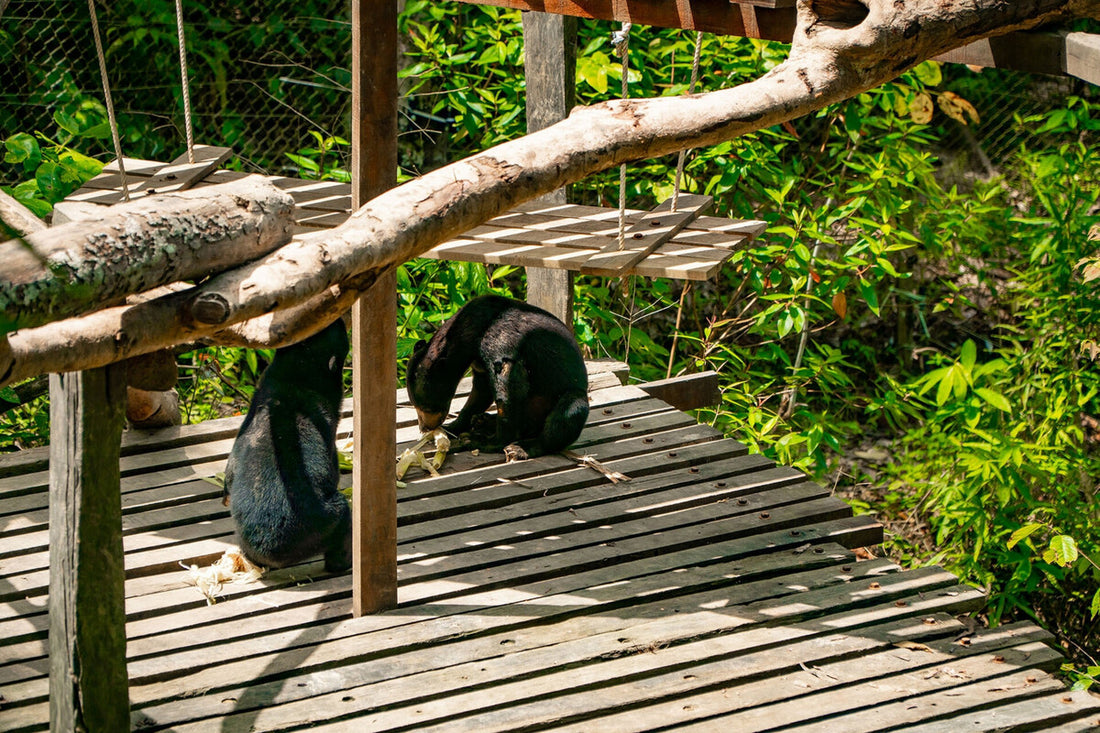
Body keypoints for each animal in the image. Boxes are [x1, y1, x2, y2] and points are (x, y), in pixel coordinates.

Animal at [406, 294, 589, 460]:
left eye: (426, 407)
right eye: (415, 406)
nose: (425, 427)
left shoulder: (501, 343)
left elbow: (508, 388)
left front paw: (484, 441)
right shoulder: (478, 362)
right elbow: (481, 392)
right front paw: (453, 427)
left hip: (567, 397)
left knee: (567, 411)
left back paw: (521, 447)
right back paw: (482, 420)